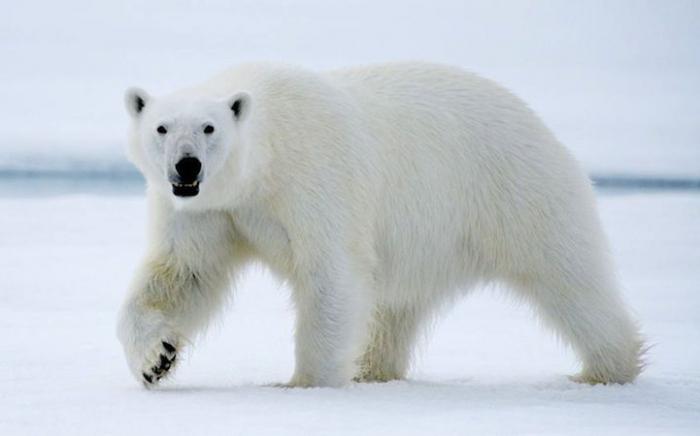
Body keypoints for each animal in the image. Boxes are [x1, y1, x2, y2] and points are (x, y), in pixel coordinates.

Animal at [116, 62, 644, 388]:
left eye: (209, 128)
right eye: (162, 127)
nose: (187, 166)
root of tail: (537, 121)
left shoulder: (314, 180)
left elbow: (330, 275)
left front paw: (303, 382)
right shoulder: (208, 211)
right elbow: (184, 274)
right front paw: (156, 359)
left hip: (513, 190)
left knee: (569, 278)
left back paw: (606, 368)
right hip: (426, 238)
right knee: (395, 307)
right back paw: (373, 368)